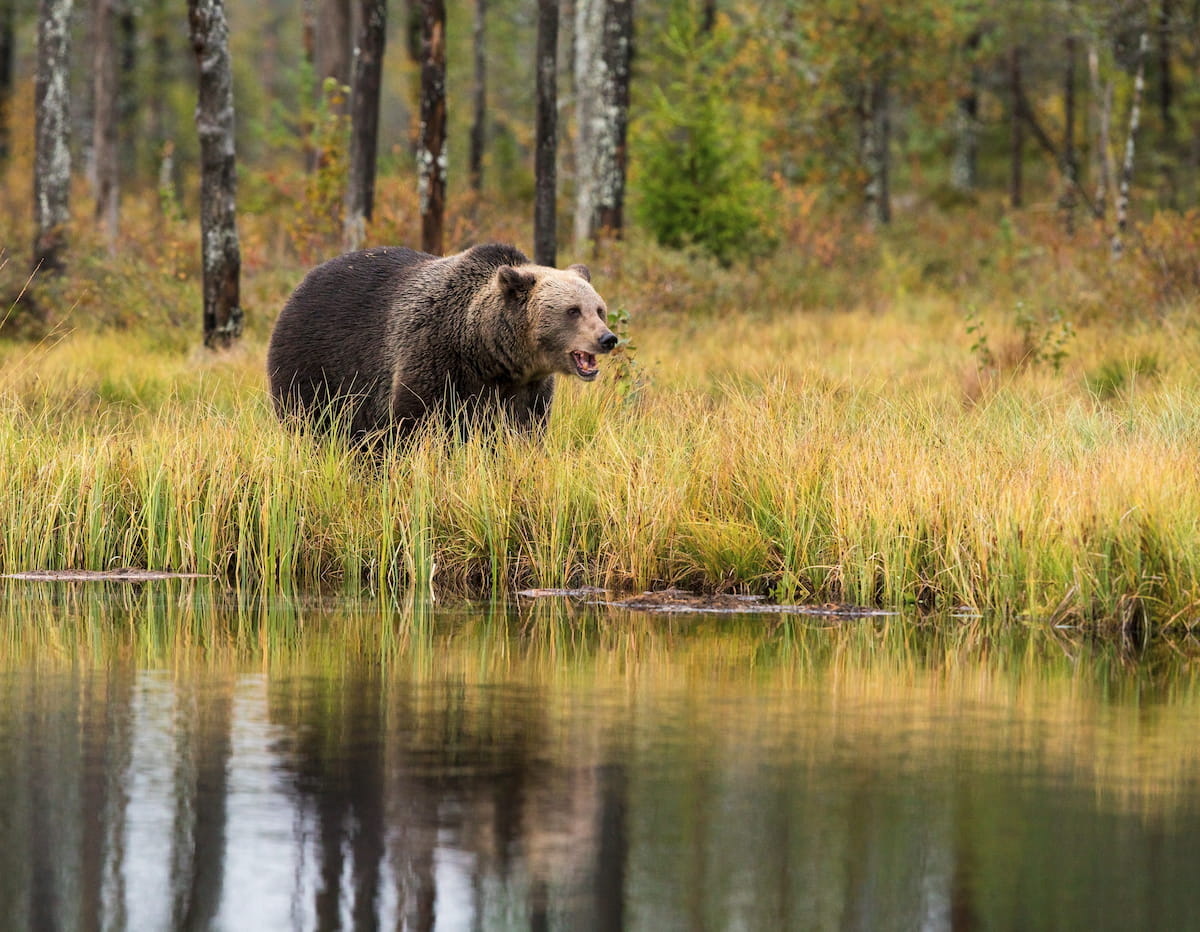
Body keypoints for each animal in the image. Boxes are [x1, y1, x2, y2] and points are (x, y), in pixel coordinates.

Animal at [266, 243, 618, 446]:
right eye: (573, 310)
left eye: (599, 309)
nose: (607, 338)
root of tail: (302, 284)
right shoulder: (433, 358)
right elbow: (414, 423)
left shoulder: (525, 389)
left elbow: (524, 431)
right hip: (314, 365)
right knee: (311, 422)